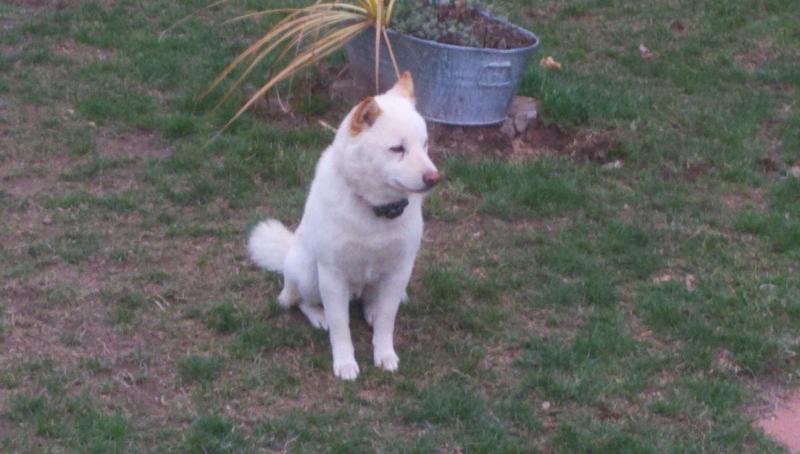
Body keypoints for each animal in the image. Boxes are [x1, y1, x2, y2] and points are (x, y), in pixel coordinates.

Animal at [247, 72, 439, 380]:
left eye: (424, 145)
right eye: (397, 149)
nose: (434, 178)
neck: (375, 210)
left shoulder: (399, 271)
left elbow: (387, 321)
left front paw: (385, 354)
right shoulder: (332, 276)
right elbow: (341, 328)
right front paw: (345, 362)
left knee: (374, 302)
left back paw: (370, 309)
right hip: (307, 273)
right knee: (299, 301)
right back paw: (318, 316)